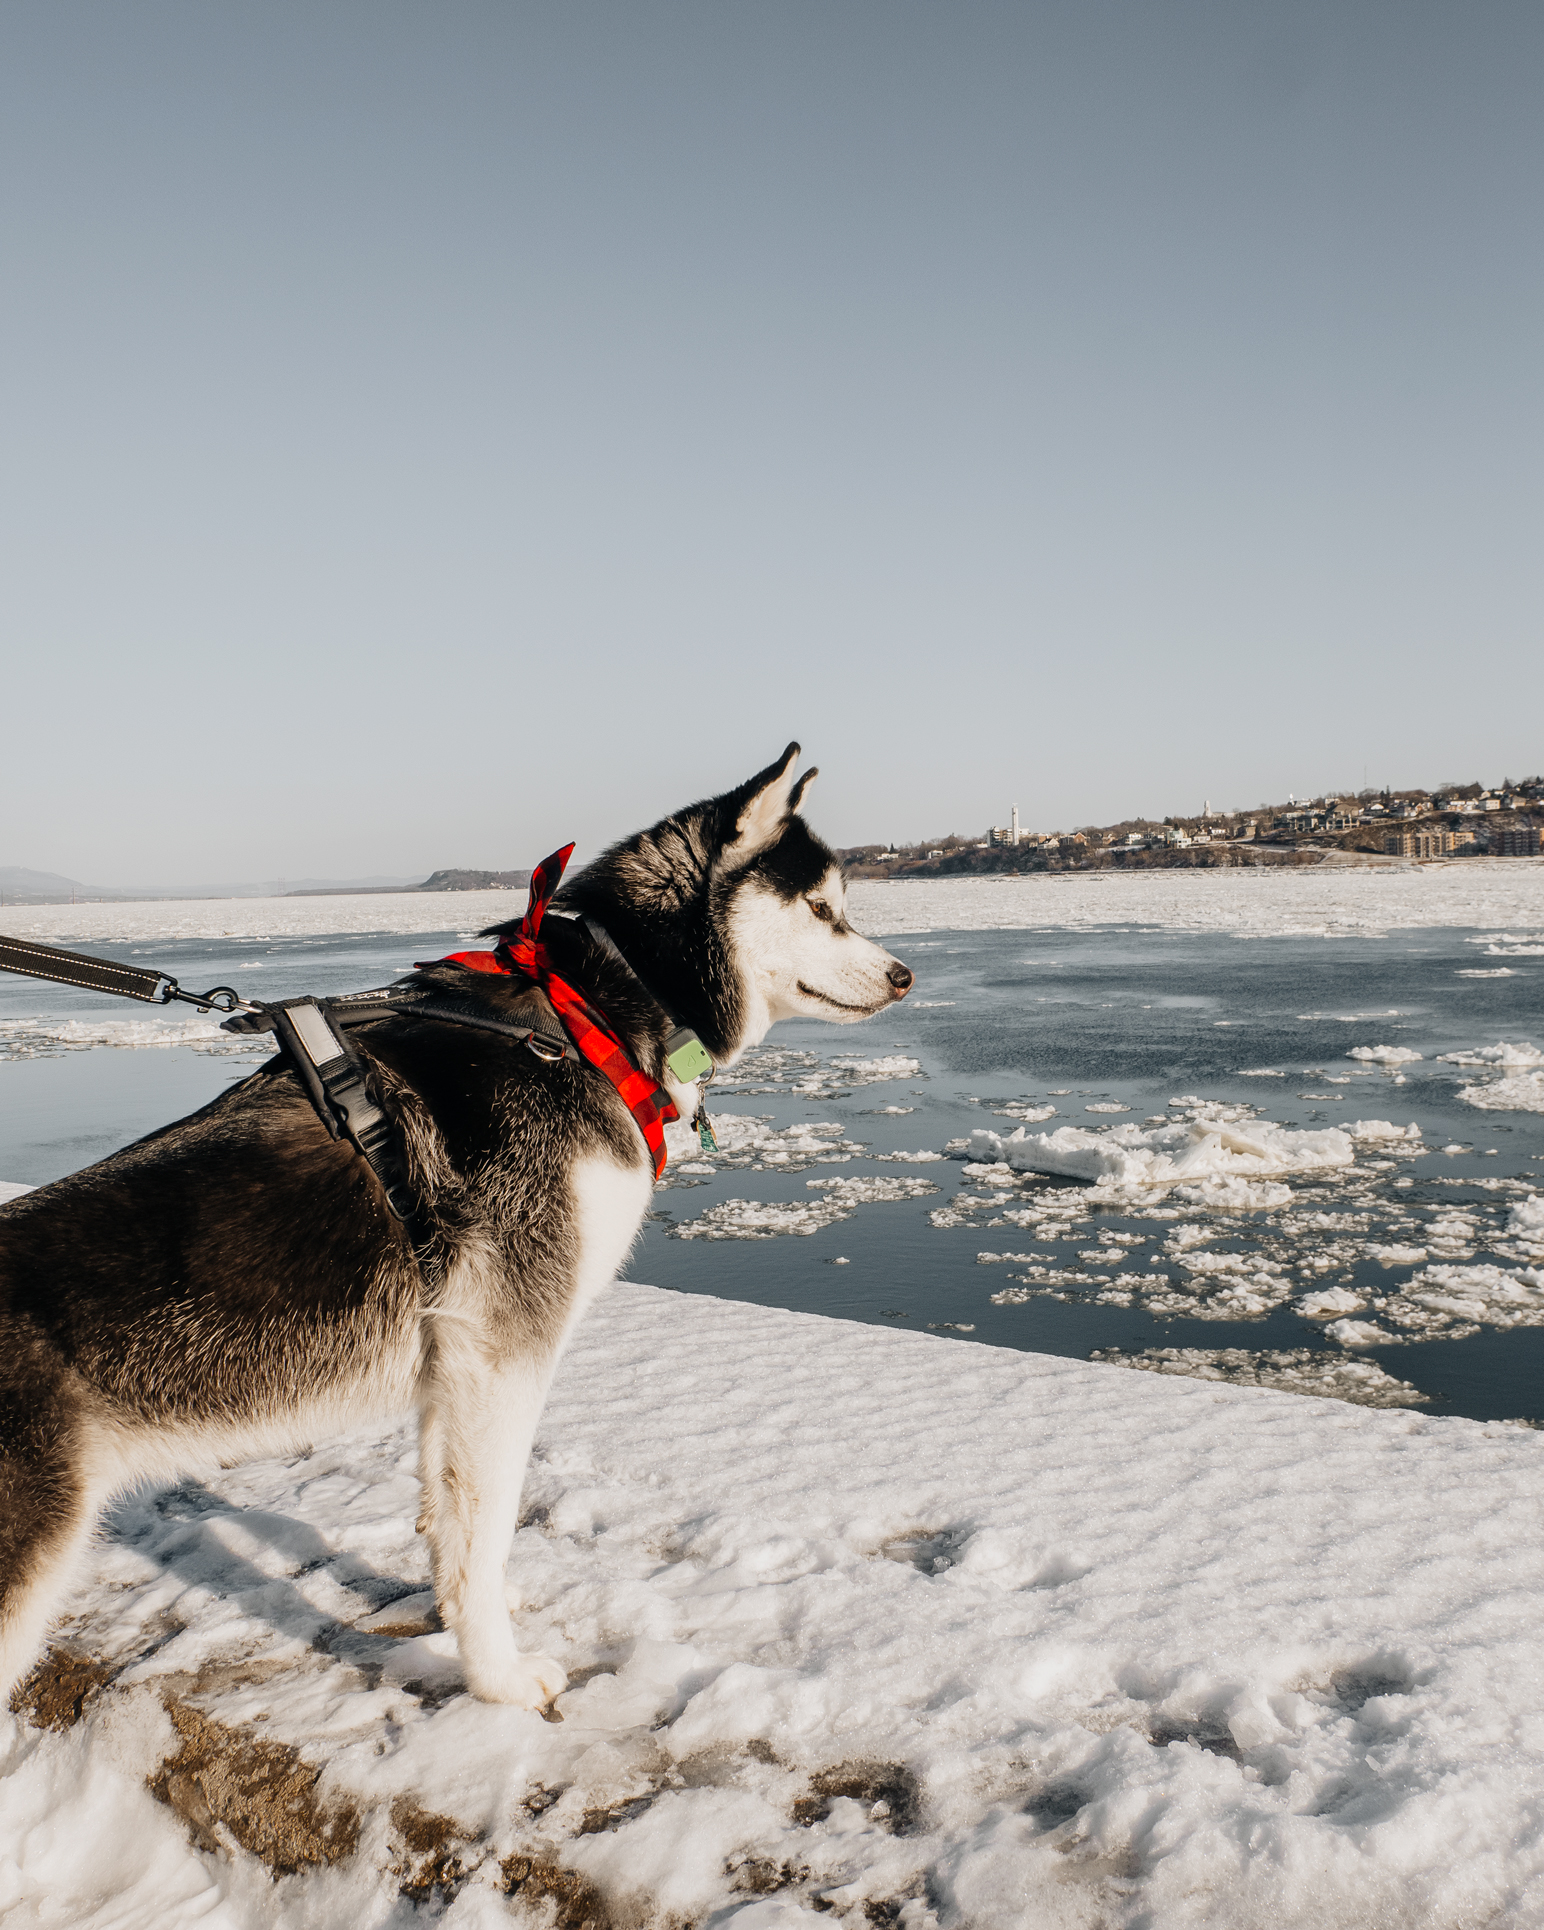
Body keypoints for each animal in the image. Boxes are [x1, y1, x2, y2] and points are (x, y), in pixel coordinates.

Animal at [0, 741, 910, 1706]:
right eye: (822, 908)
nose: (905, 975)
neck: (584, 1018)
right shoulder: (505, 1346)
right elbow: (485, 1531)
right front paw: (498, 1680)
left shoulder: (454, 1357)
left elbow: (446, 1522)